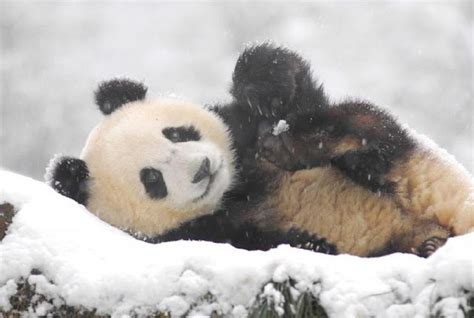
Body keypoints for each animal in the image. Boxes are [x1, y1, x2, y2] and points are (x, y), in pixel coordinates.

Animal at [46, 43, 472, 258]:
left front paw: (265, 86)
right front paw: (309, 241)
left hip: (420, 175)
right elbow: (246, 241)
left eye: (177, 133)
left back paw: (294, 146)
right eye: (152, 180)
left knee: (366, 130)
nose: (202, 169)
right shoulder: (187, 233)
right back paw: (426, 244)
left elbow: (294, 93)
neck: (237, 186)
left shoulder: (244, 129)